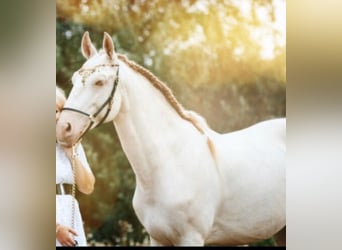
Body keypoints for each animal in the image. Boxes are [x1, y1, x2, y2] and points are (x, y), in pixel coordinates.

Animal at [56, 31, 286, 246]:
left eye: (99, 82)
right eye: (74, 80)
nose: (63, 129)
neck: (170, 163)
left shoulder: (191, 238)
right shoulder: (157, 238)